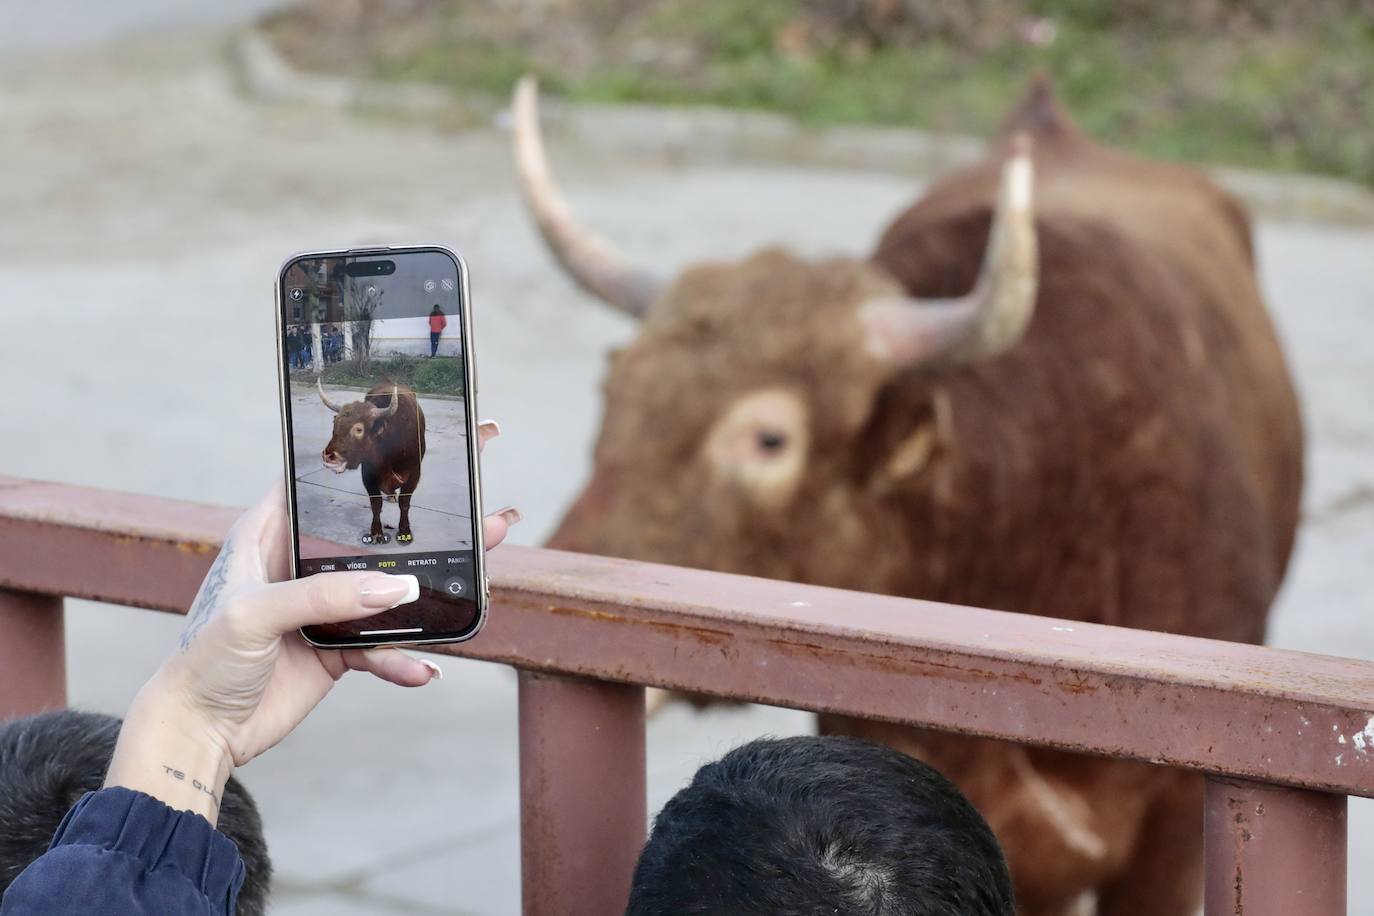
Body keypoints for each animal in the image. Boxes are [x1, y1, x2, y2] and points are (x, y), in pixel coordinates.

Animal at [318, 379, 425, 543]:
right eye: (336, 424)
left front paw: (405, 530)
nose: (328, 455)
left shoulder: (414, 474)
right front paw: (376, 532)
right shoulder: (368, 475)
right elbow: (376, 504)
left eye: (359, 429)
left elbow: (405, 503)